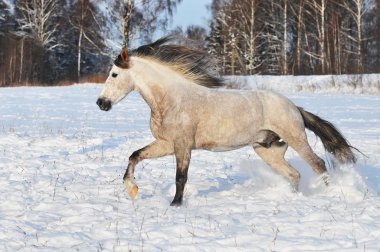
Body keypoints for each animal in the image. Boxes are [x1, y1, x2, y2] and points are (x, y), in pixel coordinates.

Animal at [95, 38, 356, 207]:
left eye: (114, 74)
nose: (101, 103)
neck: (171, 99)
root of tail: (295, 108)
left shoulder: (183, 145)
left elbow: (180, 177)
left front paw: (175, 205)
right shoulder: (166, 144)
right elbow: (134, 155)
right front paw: (132, 189)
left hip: (296, 138)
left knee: (318, 164)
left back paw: (330, 193)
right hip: (267, 150)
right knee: (294, 174)